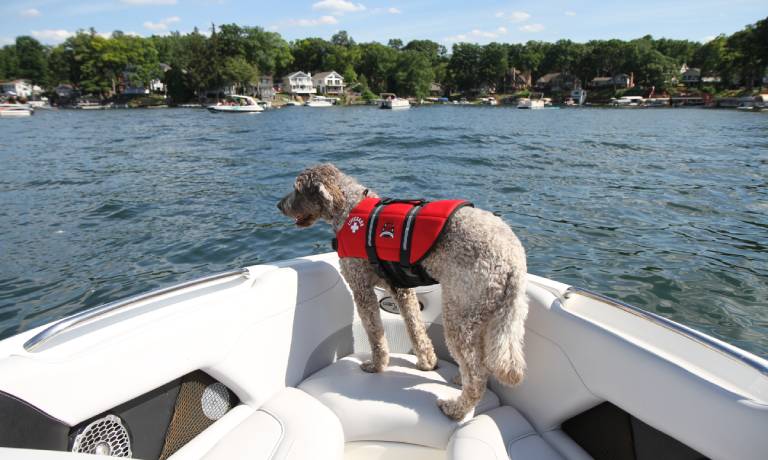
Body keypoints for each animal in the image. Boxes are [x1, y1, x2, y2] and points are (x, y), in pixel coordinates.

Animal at [278, 163, 528, 420]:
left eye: (297, 189)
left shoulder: (361, 288)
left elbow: (375, 334)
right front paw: (427, 363)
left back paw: (455, 409)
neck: (349, 207)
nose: (279, 205)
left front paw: (377, 366)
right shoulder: (401, 288)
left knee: (477, 375)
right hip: (485, 314)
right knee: (481, 364)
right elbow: (415, 328)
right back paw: (460, 380)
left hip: (460, 313)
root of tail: (513, 260)